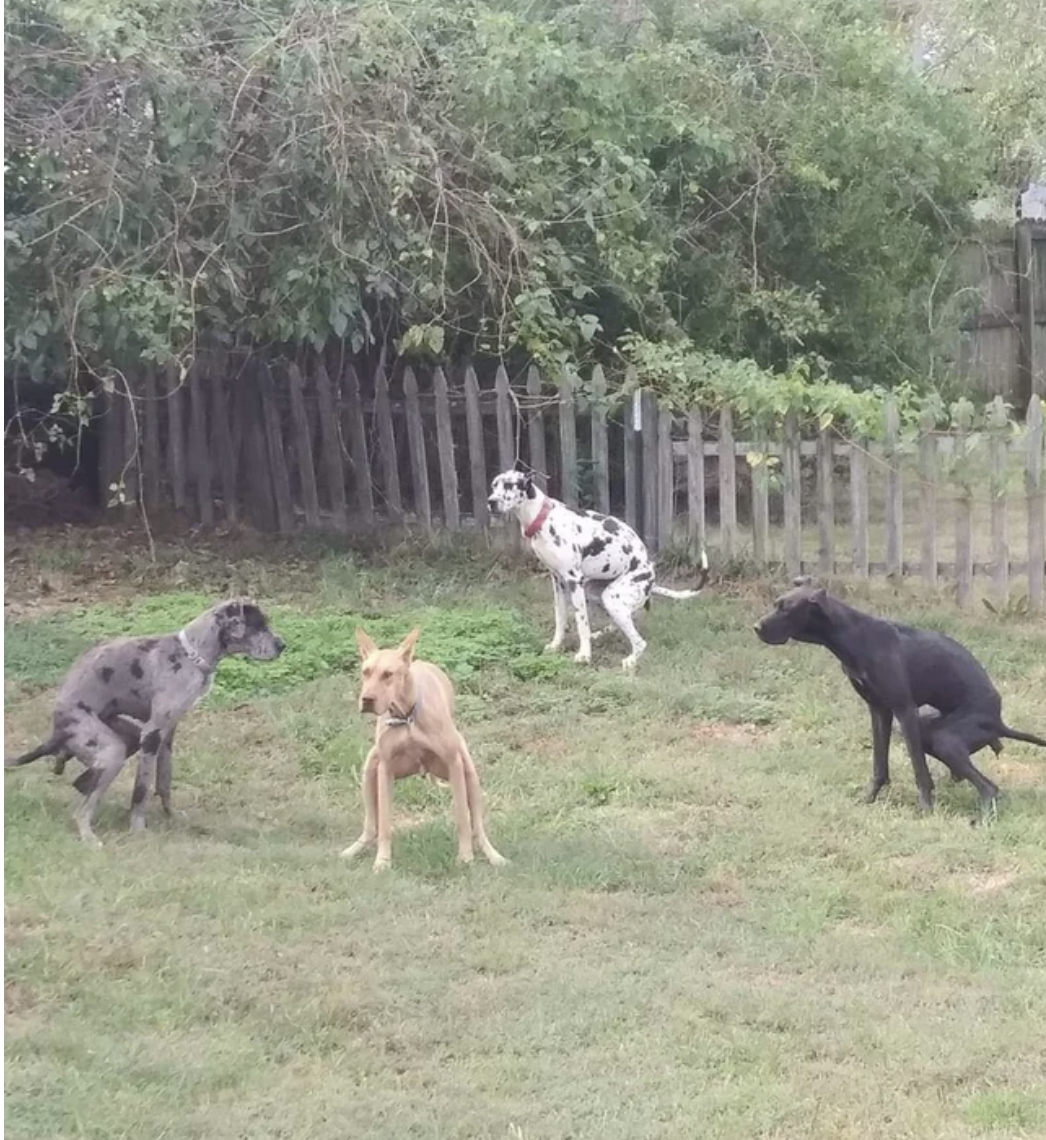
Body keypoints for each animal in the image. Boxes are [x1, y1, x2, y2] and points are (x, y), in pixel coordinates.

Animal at [344, 629, 508, 866]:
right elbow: (384, 824)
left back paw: (493, 855)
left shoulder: (454, 765)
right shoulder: (385, 770)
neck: (407, 717)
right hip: (369, 773)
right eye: (365, 672)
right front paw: (382, 861)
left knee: (478, 826)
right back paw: (353, 849)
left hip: (470, 776)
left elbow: (463, 819)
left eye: (388, 674)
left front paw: (465, 857)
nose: (366, 699)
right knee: (371, 826)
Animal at [492, 469, 711, 665]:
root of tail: (651, 580)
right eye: (494, 485)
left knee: (640, 642)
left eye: (510, 485)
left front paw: (584, 655)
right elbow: (560, 618)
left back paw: (630, 660)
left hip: (611, 598)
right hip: (598, 595)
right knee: (622, 622)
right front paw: (556, 645)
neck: (543, 518)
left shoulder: (573, 581)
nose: (491, 502)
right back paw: (600, 635)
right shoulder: (558, 581)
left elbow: (581, 622)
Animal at [756, 579, 1043, 820]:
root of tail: (1000, 723)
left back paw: (982, 819)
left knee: (989, 788)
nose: (756, 627)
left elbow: (919, 770)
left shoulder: (903, 710)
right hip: (930, 729)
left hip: (946, 739)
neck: (854, 635)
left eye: (785, 609)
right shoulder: (879, 710)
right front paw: (868, 799)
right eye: (776, 603)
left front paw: (925, 810)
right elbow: (879, 765)